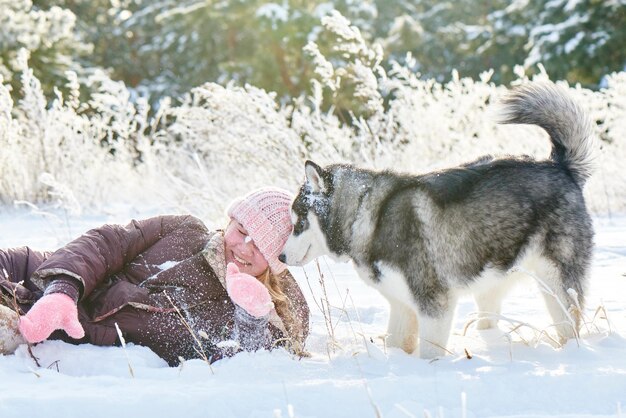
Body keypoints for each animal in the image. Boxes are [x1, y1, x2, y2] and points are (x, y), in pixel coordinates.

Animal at [280, 82, 592, 360]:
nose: (281, 257)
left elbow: (430, 352)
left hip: (556, 283)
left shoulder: (435, 304)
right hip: (492, 283)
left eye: (298, 223)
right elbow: (397, 344)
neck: (366, 214)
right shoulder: (401, 306)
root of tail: (559, 166)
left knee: (569, 324)